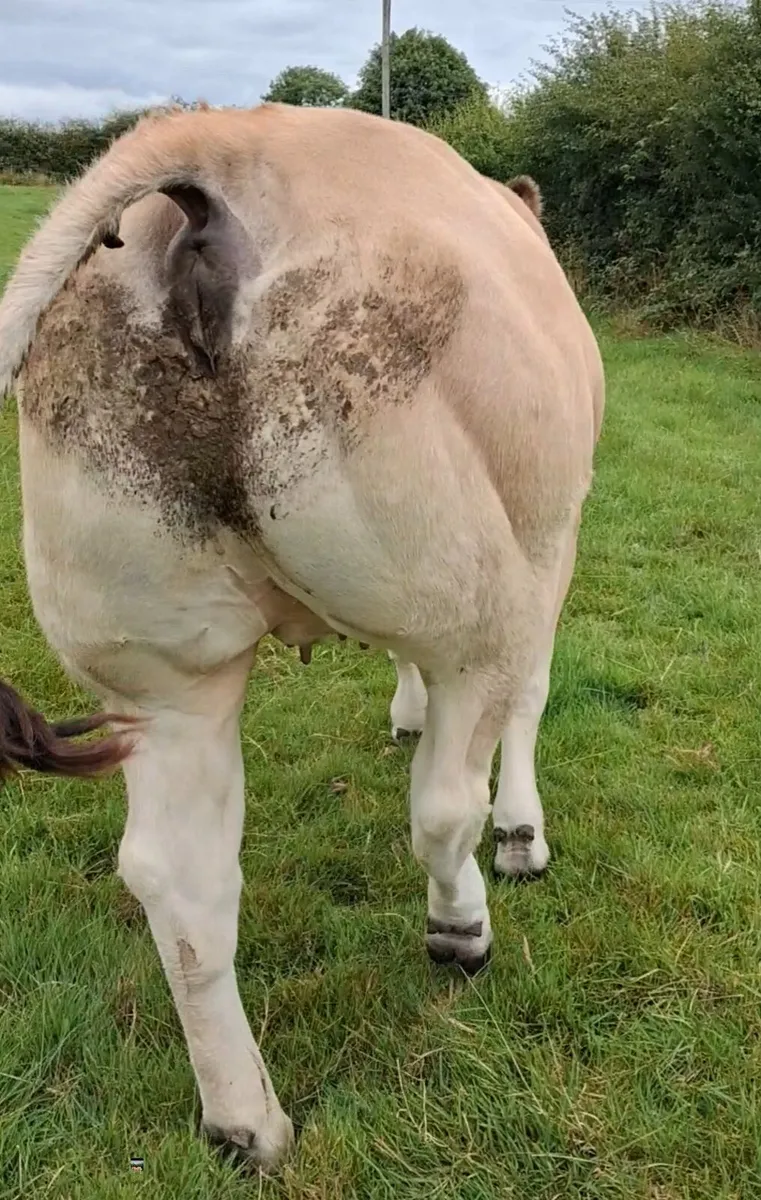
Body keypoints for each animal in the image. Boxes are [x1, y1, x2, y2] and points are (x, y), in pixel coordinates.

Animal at [0, 103, 604, 1170]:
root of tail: (211, 155)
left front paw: (403, 713)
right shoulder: (550, 541)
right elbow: (530, 701)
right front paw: (522, 835)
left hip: (159, 671)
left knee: (178, 879)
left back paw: (246, 1122)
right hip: (471, 598)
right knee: (442, 804)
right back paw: (460, 927)